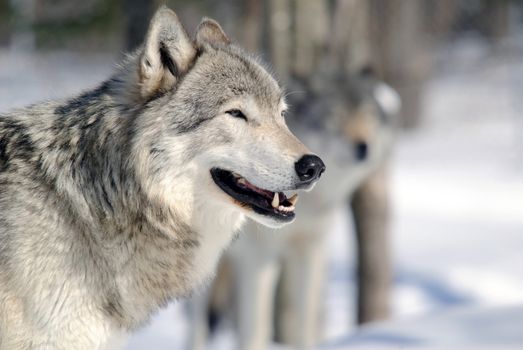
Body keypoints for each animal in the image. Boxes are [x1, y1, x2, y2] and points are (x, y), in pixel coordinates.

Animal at [189, 69, 402, 350]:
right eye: (335, 117)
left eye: (367, 115)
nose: (362, 146)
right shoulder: (259, 257)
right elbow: (256, 327)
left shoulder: (310, 249)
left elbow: (306, 318)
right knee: (198, 324)